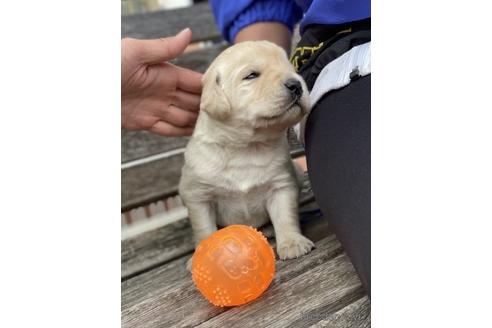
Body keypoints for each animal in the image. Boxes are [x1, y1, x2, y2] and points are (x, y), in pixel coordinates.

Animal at [181, 40, 316, 270]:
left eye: (290, 67)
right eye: (252, 75)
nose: (296, 84)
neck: (246, 146)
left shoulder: (281, 186)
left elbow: (285, 216)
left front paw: (292, 242)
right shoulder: (199, 196)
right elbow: (204, 229)